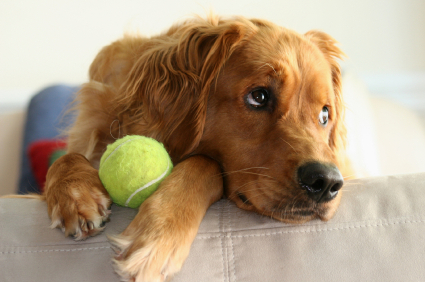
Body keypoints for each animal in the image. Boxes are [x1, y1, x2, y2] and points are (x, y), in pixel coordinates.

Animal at [41, 14, 352, 282]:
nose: (326, 182)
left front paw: (159, 237)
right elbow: (65, 158)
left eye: (325, 115)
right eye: (259, 96)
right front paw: (75, 194)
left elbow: (205, 162)